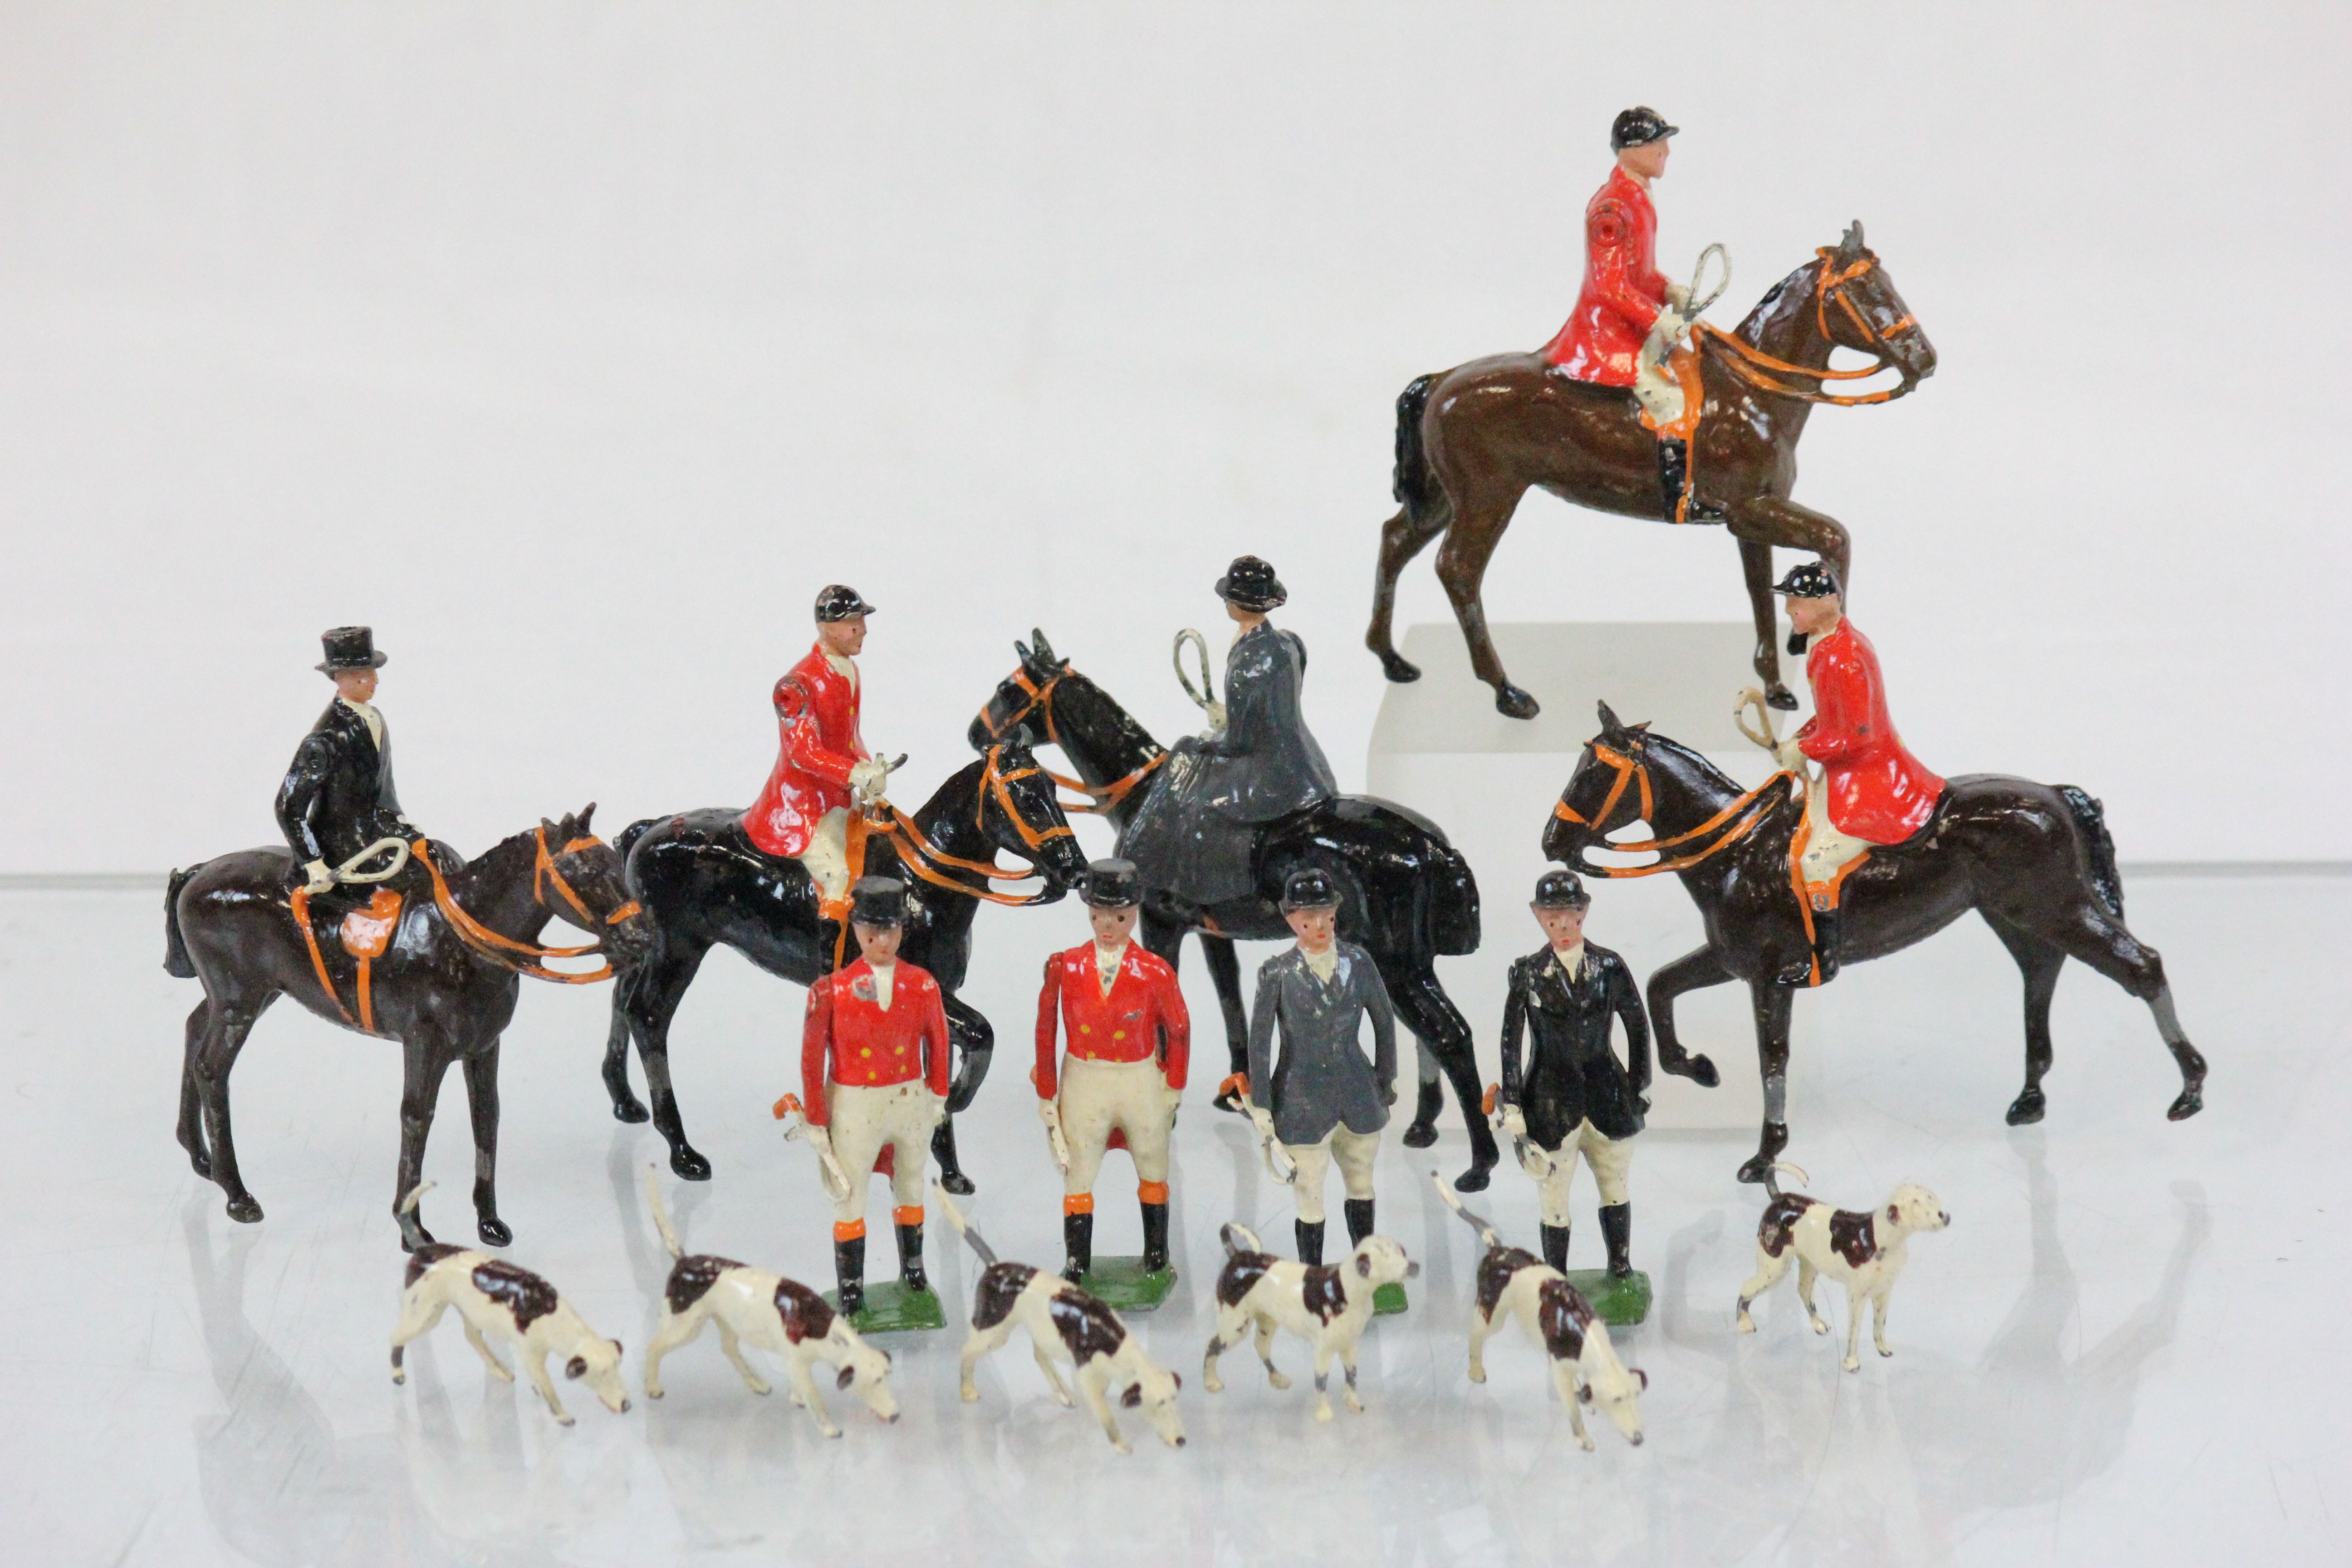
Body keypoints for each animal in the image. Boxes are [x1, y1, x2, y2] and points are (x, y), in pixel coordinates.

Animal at [164, 808, 649, 1250]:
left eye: (614, 861)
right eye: (588, 873)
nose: (641, 939)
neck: (458, 939)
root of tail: (199, 873)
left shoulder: (484, 1045)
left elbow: (486, 1115)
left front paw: (489, 1222)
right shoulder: (424, 1046)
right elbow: (417, 1117)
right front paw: (411, 1228)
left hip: (249, 996)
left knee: (192, 1028)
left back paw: (199, 1155)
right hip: (239, 1004)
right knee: (212, 1070)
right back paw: (237, 1194)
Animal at [602, 738, 1087, 1189]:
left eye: (1053, 790)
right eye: (1026, 797)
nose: (1076, 871)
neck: (917, 883)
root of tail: (648, 829)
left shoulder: (939, 992)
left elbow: (949, 1055)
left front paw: (950, 1171)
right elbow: (980, 1035)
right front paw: (951, 1105)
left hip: (653, 948)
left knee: (621, 998)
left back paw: (625, 1101)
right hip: (679, 950)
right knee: (647, 1017)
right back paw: (682, 1152)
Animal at [974, 634, 1505, 1189]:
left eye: (1008, 689)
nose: (975, 734)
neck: (1143, 792)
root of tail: (1431, 847)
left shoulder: (1161, 925)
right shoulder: (1212, 931)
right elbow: (1228, 993)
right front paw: (1238, 1088)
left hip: (1397, 965)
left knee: (1448, 1034)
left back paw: (1480, 1164)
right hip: (1411, 963)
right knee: (1425, 1035)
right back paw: (1424, 1125)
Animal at [1373, 223, 1938, 719]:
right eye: (1865, 288)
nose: (1926, 359)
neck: (1749, 395)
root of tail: (1443, 379)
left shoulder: (1753, 517)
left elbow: (1760, 590)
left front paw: (1777, 687)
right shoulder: (1752, 510)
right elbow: (1834, 540)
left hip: (1445, 499)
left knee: (1396, 540)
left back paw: (1391, 659)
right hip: (1488, 499)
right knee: (1458, 570)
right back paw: (1505, 691)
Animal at [1543, 705, 2201, 1185]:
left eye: (1596, 773)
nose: (1552, 841)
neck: (1742, 851)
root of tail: (2053, 794)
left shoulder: (1769, 977)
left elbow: (1772, 1058)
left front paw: (1765, 1156)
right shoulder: (1731, 961)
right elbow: (1660, 986)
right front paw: (1697, 1068)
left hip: (2059, 910)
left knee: (2141, 967)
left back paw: (2190, 1092)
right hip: (2016, 918)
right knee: (2041, 973)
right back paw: (2031, 1097)